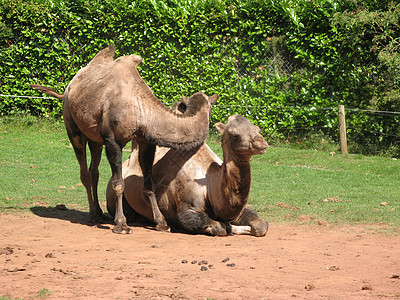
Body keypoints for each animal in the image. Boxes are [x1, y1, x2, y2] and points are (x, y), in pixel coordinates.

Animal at [30, 46, 219, 234]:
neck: (141, 109)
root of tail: (67, 90)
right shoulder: (113, 140)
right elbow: (118, 182)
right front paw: (121, 224)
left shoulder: (145, 141)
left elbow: (149, 183)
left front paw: (161, 222)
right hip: (73, 128)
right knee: (84, 171)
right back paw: (92, 215)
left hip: (95, 139)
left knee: (94, 172)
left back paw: (99, 213)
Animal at [106, 112, 268, 237]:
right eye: (235, 135)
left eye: (257, 129)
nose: (262, 143)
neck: (209, 183)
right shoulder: (187, 209)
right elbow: (218, 227)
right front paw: (228, 227)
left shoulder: (237, 210)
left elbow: (262, 225)